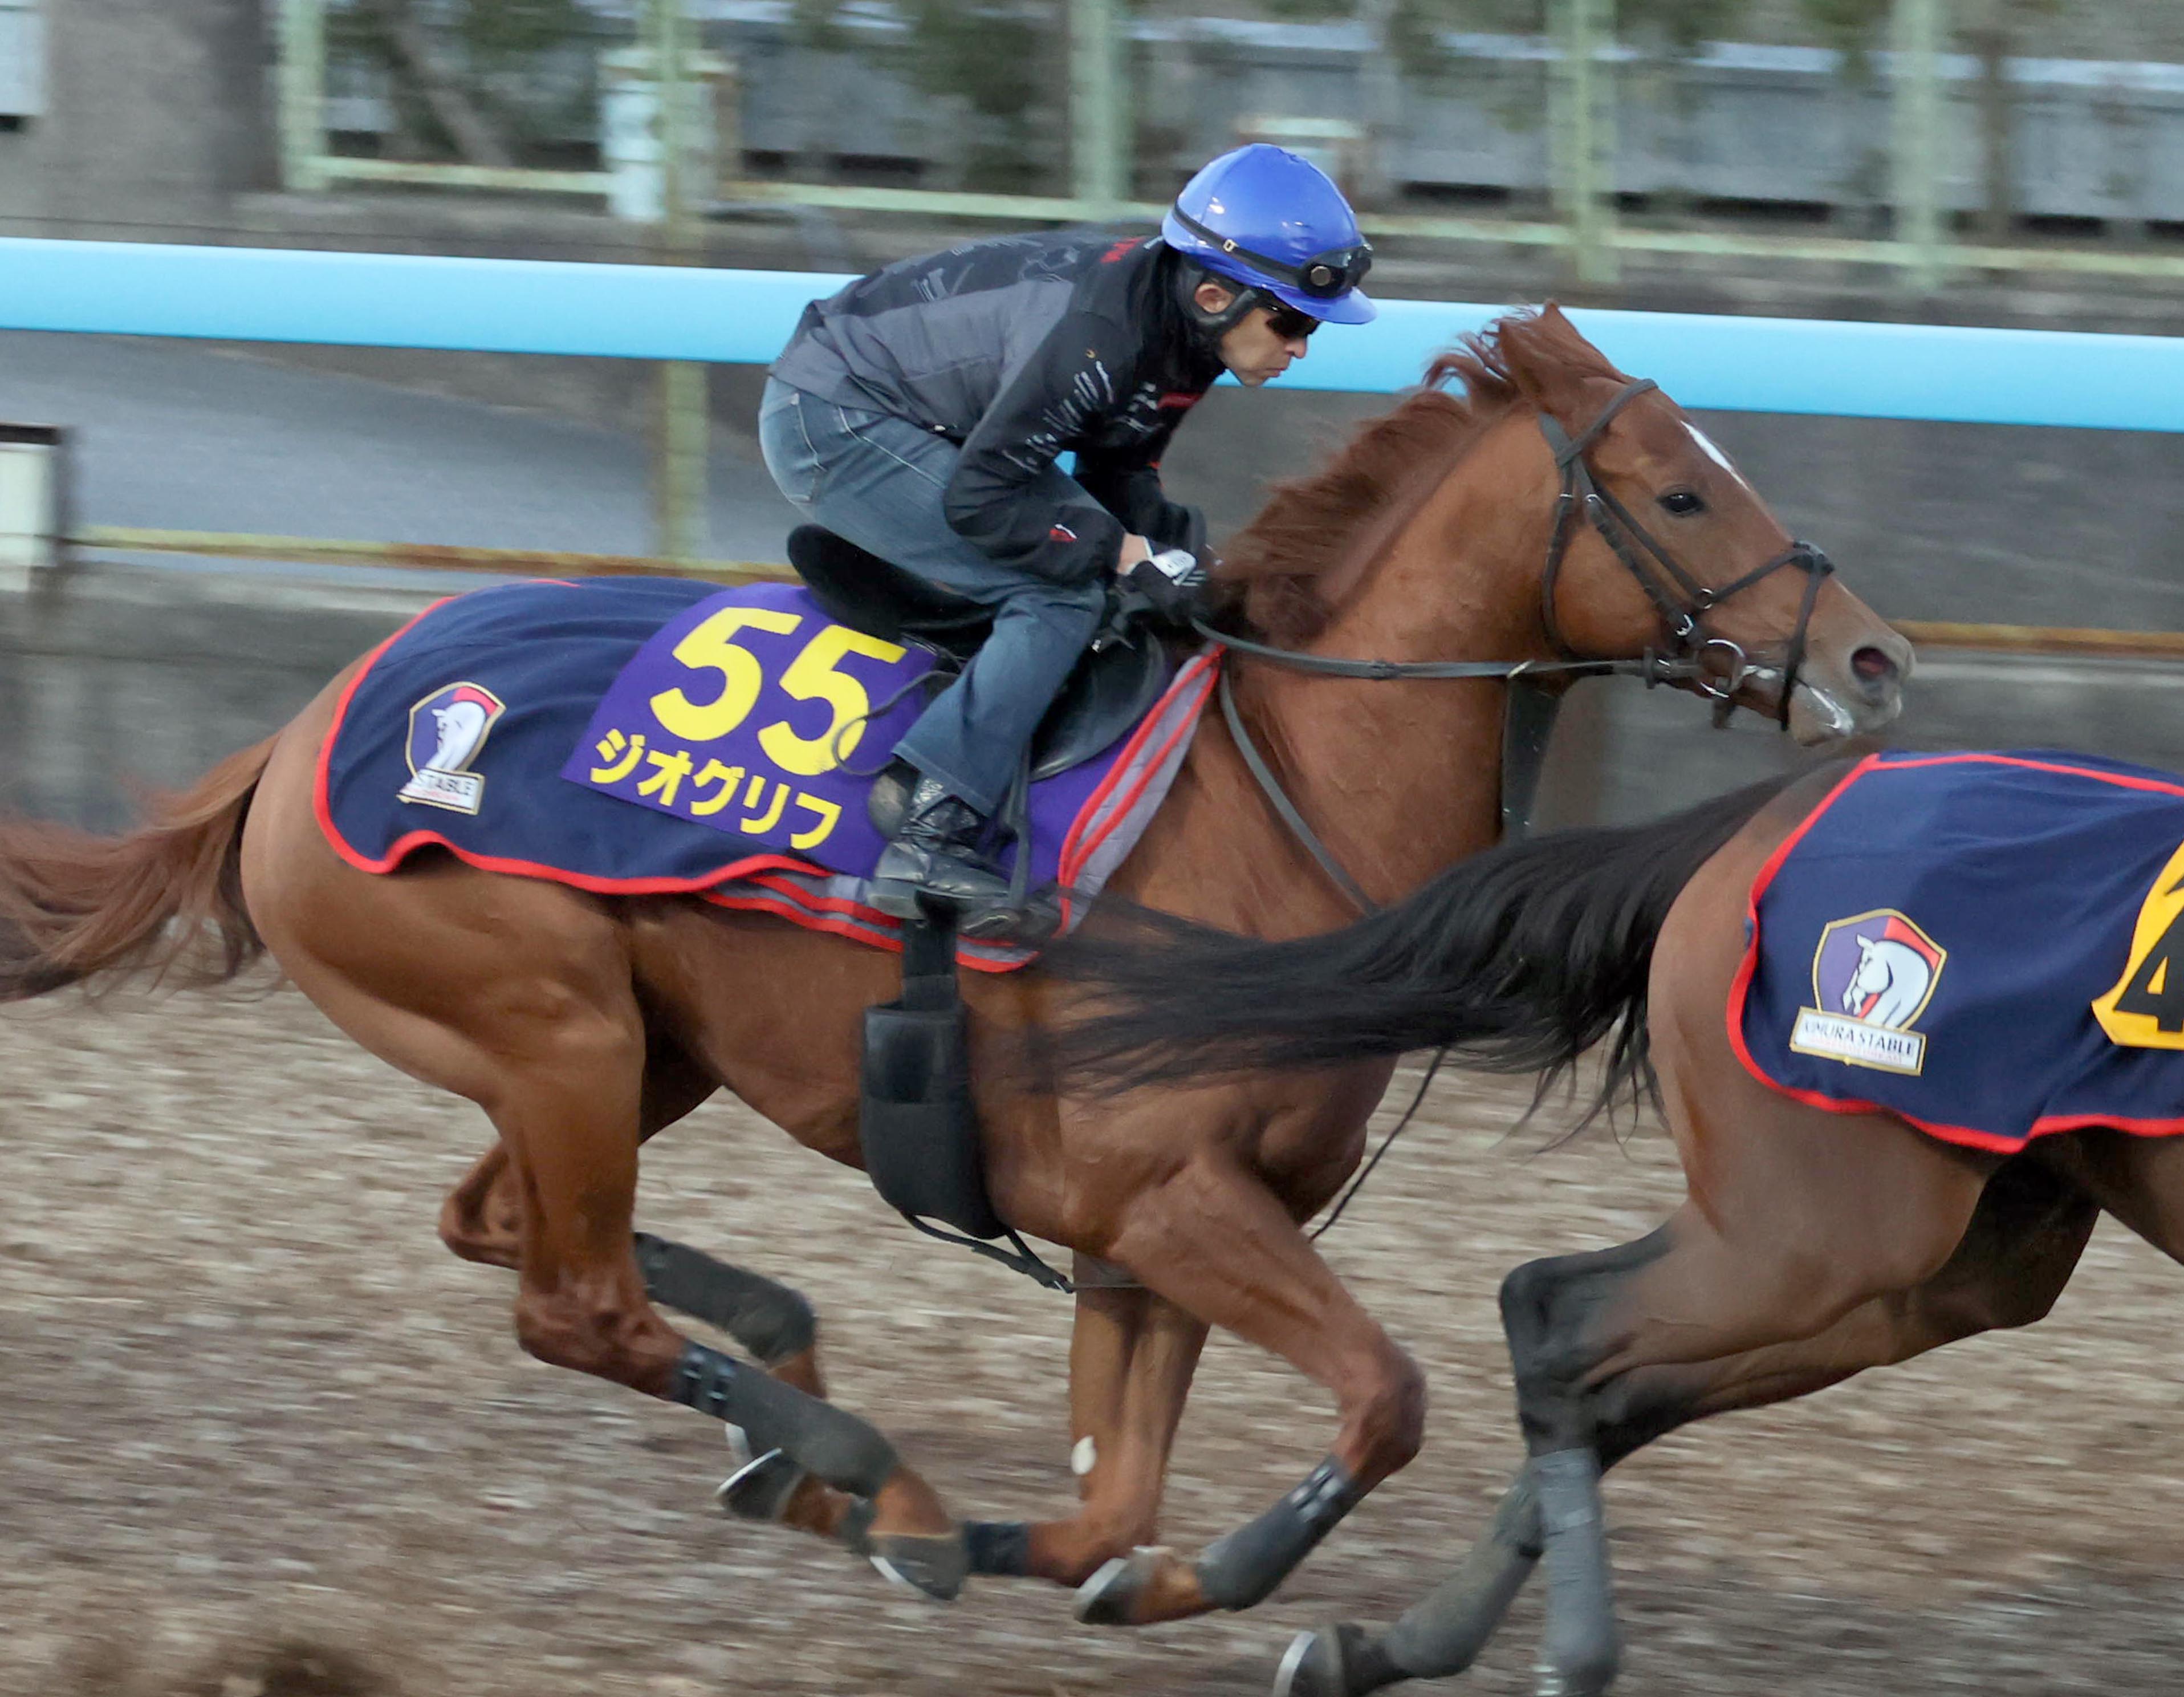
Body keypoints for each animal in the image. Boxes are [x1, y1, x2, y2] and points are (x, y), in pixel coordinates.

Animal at [0, 308, 1913, 1625]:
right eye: (1677, 488)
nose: (1874, 661)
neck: (1275, 798)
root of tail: (314, 719)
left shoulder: (1140, 1241)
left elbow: (1102, 1508)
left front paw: (1083, 1559)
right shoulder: (1167, 1200)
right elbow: (1382, 1398)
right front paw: (1176, 1567)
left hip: (626, 1047)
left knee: (501, 1231)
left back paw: (803, 1413)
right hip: (549, 1025)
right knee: (572, 1297)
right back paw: (856, 1469)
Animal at [1052, 760, 2184, 1695]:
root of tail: (1769, 811)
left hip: (1945, 1260)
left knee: (1611, 1386)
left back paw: (1349, 1635)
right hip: (1820, 1235)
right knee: (1556, 1314)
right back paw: (1556, 1656)